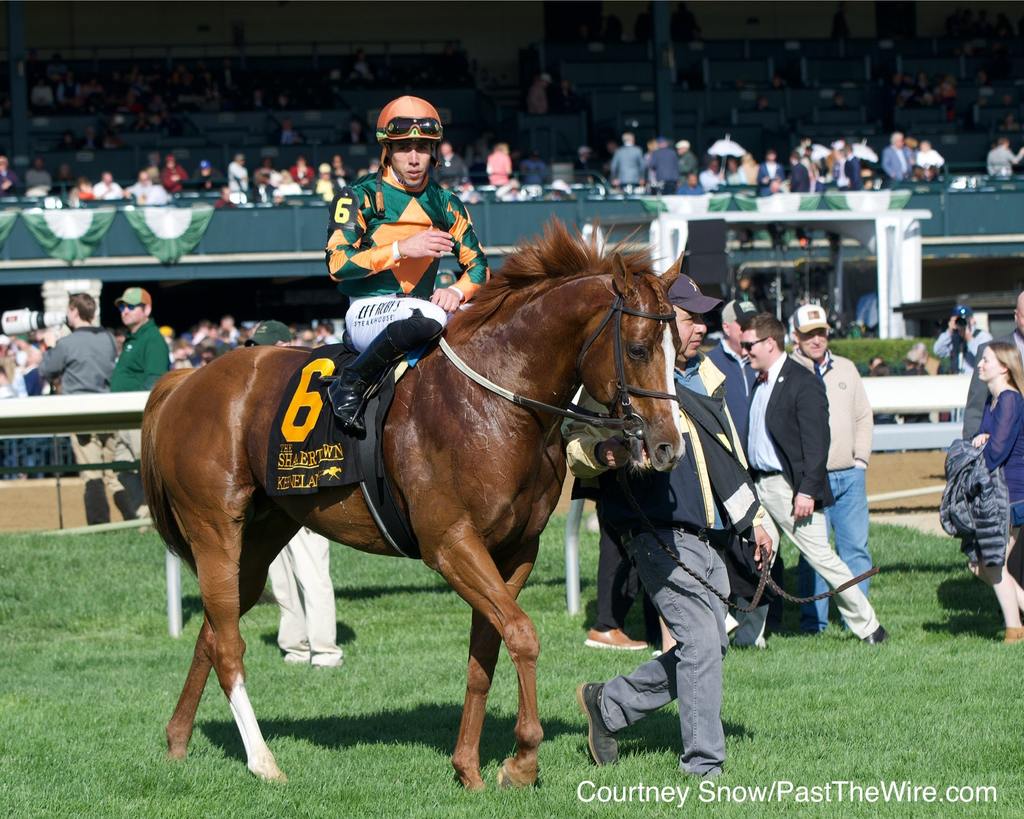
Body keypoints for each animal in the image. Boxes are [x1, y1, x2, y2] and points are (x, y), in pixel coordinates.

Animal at [140, 221, 684, 790]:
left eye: (682, 349)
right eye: (640, 349)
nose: (669, 445)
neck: (497, 400)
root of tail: (186, 381)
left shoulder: (515, 551)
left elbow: (485, 650)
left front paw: (469, 767)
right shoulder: (450, 544)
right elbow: (522, 634)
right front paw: (522, 760)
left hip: (263, 535)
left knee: (211, 630)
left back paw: (178, 740)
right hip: (214, 527)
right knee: (228, 643)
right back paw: (263, 761)